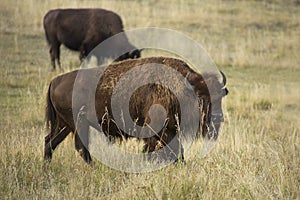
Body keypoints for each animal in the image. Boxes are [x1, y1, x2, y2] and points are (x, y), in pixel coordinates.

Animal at [44, 56, 227, 164]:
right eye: (201, 97)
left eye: (221, 96)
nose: (217, 117)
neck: (181, 88)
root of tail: (55, 81)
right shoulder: (159, 131)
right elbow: (167, 150)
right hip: (77, 124)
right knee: (79, 147)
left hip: (64, 125)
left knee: (50, 142)